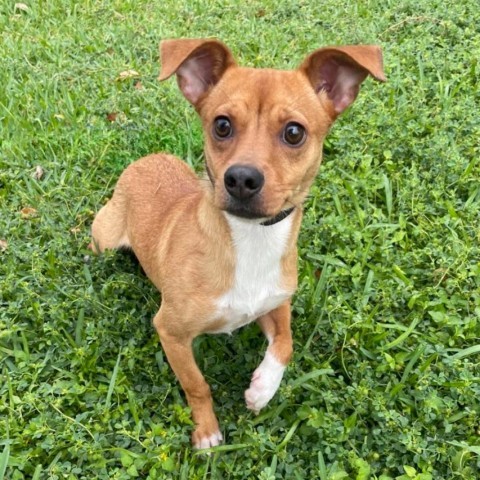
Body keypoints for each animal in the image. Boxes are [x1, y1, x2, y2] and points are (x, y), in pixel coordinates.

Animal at [90, 38, 384, 450]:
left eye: (294, 132)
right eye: (222, 125)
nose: (242, 178)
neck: (251, 240)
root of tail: (145, 160)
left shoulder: (276, 304)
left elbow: (286, 344)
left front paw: (262, 389)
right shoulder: (170, 332)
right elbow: (197, 385)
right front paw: (206, 431)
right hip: (103, 236)